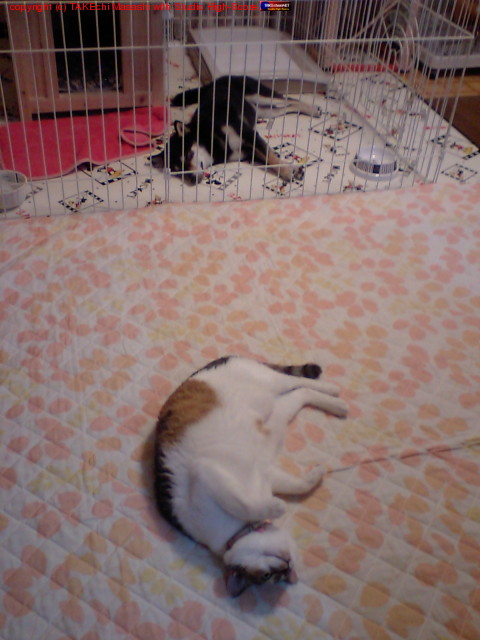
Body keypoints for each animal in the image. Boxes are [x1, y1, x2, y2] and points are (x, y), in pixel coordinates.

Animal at [151, 76, 322, 185]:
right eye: (177, 171)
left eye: (188, 155)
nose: (192, 179)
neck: (210, 138)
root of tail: (213, 82)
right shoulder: (249, 151)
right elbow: (268, 160)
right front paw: (288, 170)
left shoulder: (250, 136)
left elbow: (271, 157)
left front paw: (287, 171)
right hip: (263, 111)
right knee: (288, 106)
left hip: (260, 95)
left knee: (289, 99)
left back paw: (313, 109)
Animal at [153, 355, 348, 597]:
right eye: (269, 577)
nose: (286, 565)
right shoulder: (267, 470)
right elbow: (297, 486)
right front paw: (315, 475)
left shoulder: (204, 472)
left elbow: (243, 503)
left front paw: (277, 506)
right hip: (274, 406)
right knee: (301, 393)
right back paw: (335, 404)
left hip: (269, 382)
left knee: (297, 381)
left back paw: (333, 392)